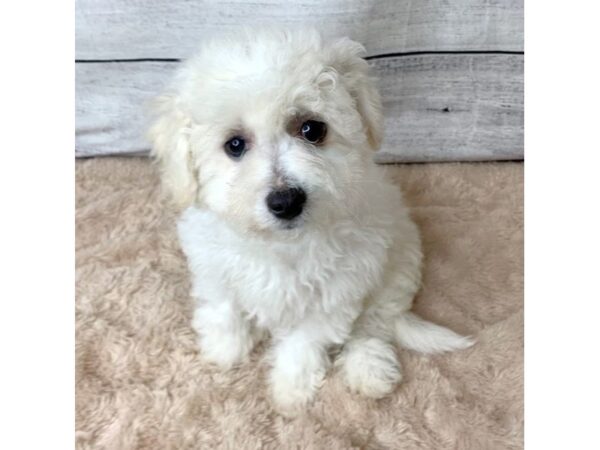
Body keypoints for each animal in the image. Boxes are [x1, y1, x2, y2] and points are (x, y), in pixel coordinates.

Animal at [146, 29, 474, 414]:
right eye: (235, 145)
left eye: (312, 129)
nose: (285, 201)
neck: (281, 244)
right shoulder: (215, 267)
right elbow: (225, 307)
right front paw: (225, 349)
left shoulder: (336, 291)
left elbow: (304, 342)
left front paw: (290, 390)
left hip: (394, 269)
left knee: (372, 325)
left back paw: (369, 371)